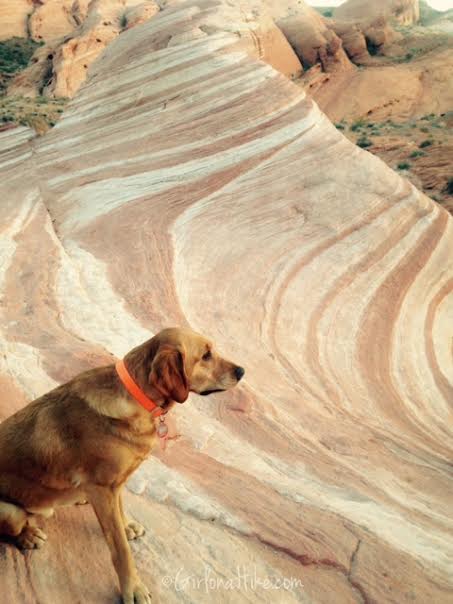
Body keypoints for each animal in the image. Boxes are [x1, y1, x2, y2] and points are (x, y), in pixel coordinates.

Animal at [0, 330, 244, 604]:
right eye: (206, 356)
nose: (242, 371)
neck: (140, 399)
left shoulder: (115, 484)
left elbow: (121, 509)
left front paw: (126, 525)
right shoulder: (103, 488)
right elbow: (120, 549)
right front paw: (133, 589)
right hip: (11, 512)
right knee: (16, 526)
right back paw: (28, 535)